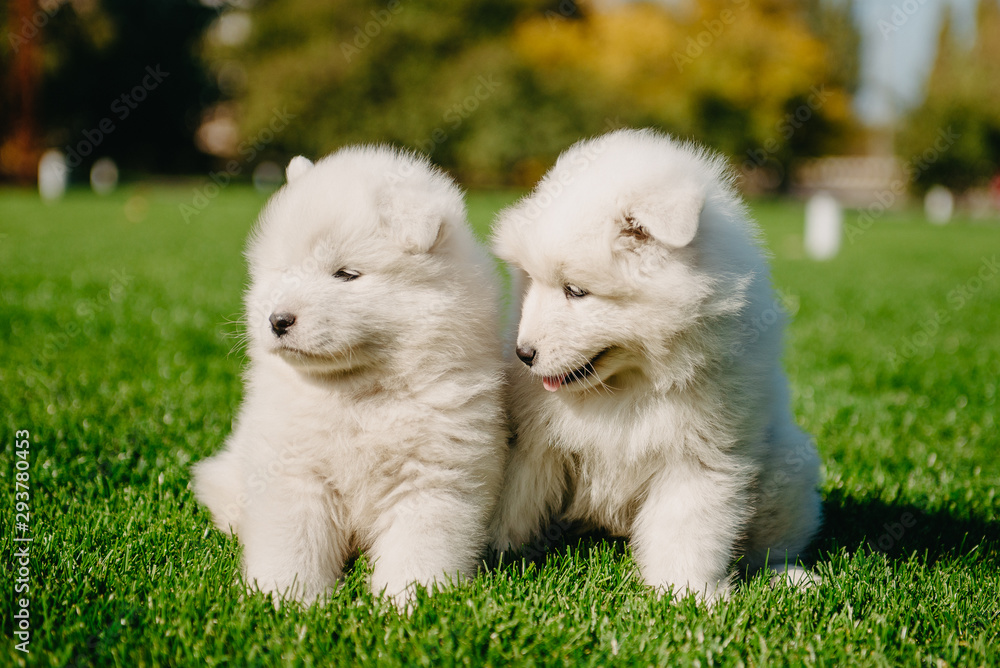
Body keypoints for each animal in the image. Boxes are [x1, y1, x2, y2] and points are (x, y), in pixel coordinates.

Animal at [193, 145, 508, 604]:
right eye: (284, 271)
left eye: (345, 275)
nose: (278, 320)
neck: (358, 392)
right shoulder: (295, 472)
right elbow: (294, 542)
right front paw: (286, 598)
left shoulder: (433, 477)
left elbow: (418, 548)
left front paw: (408, 603)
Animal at [490, 128, 820, 604]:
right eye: (530, 281)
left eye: (575, 291)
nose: (523, 354)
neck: (629, 384)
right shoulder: (535, 444)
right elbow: (513, 503)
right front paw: (487, 558)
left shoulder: (698, 455)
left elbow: (686, 530)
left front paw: (690, 595)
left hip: (786, 469)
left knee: (771, 545)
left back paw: (791, 577)